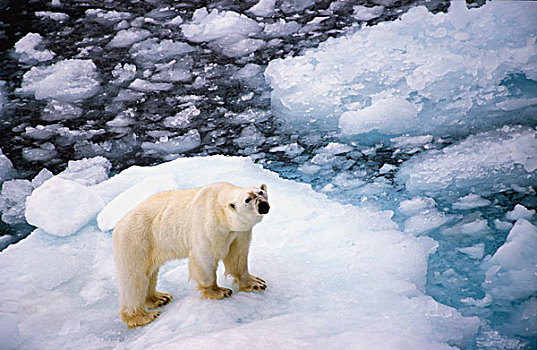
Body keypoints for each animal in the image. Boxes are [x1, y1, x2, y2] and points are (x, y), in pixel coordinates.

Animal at [111, 182, 270, 326]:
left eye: (261, 192)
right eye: (247, 200)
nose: (263, 205)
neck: (219, 206)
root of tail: (119, 224)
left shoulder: (239, 232)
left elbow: (238, 255)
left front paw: (256, 283)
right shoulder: (209, 226)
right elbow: (204, 257)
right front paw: (219, 291)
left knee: (150, 274)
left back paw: (159, 298)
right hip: (137, 239)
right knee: (134, 278)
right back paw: (143, 316)